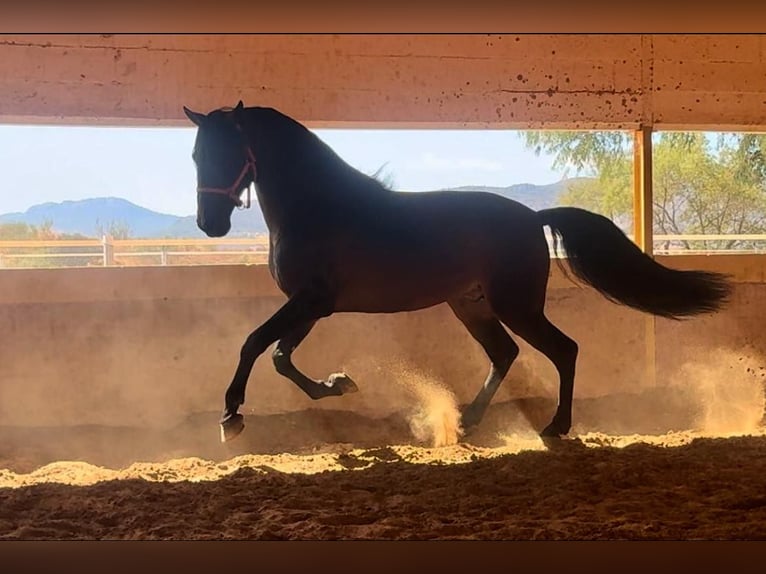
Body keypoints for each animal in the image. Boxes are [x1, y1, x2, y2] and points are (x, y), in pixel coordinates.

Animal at [183, 102, 736, 446]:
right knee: (505, 352)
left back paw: (555, 427)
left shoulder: (312, 300)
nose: (210, 225)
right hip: (471, 305)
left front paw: (231, 418)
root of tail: (532, 218)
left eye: (228, 152)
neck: (316, 207)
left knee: (563, 350)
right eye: (194, 154)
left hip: (516, 305)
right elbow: (281, 357)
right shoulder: (313, 304)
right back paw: (468, 421)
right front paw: (339, 385)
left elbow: (255, 344)